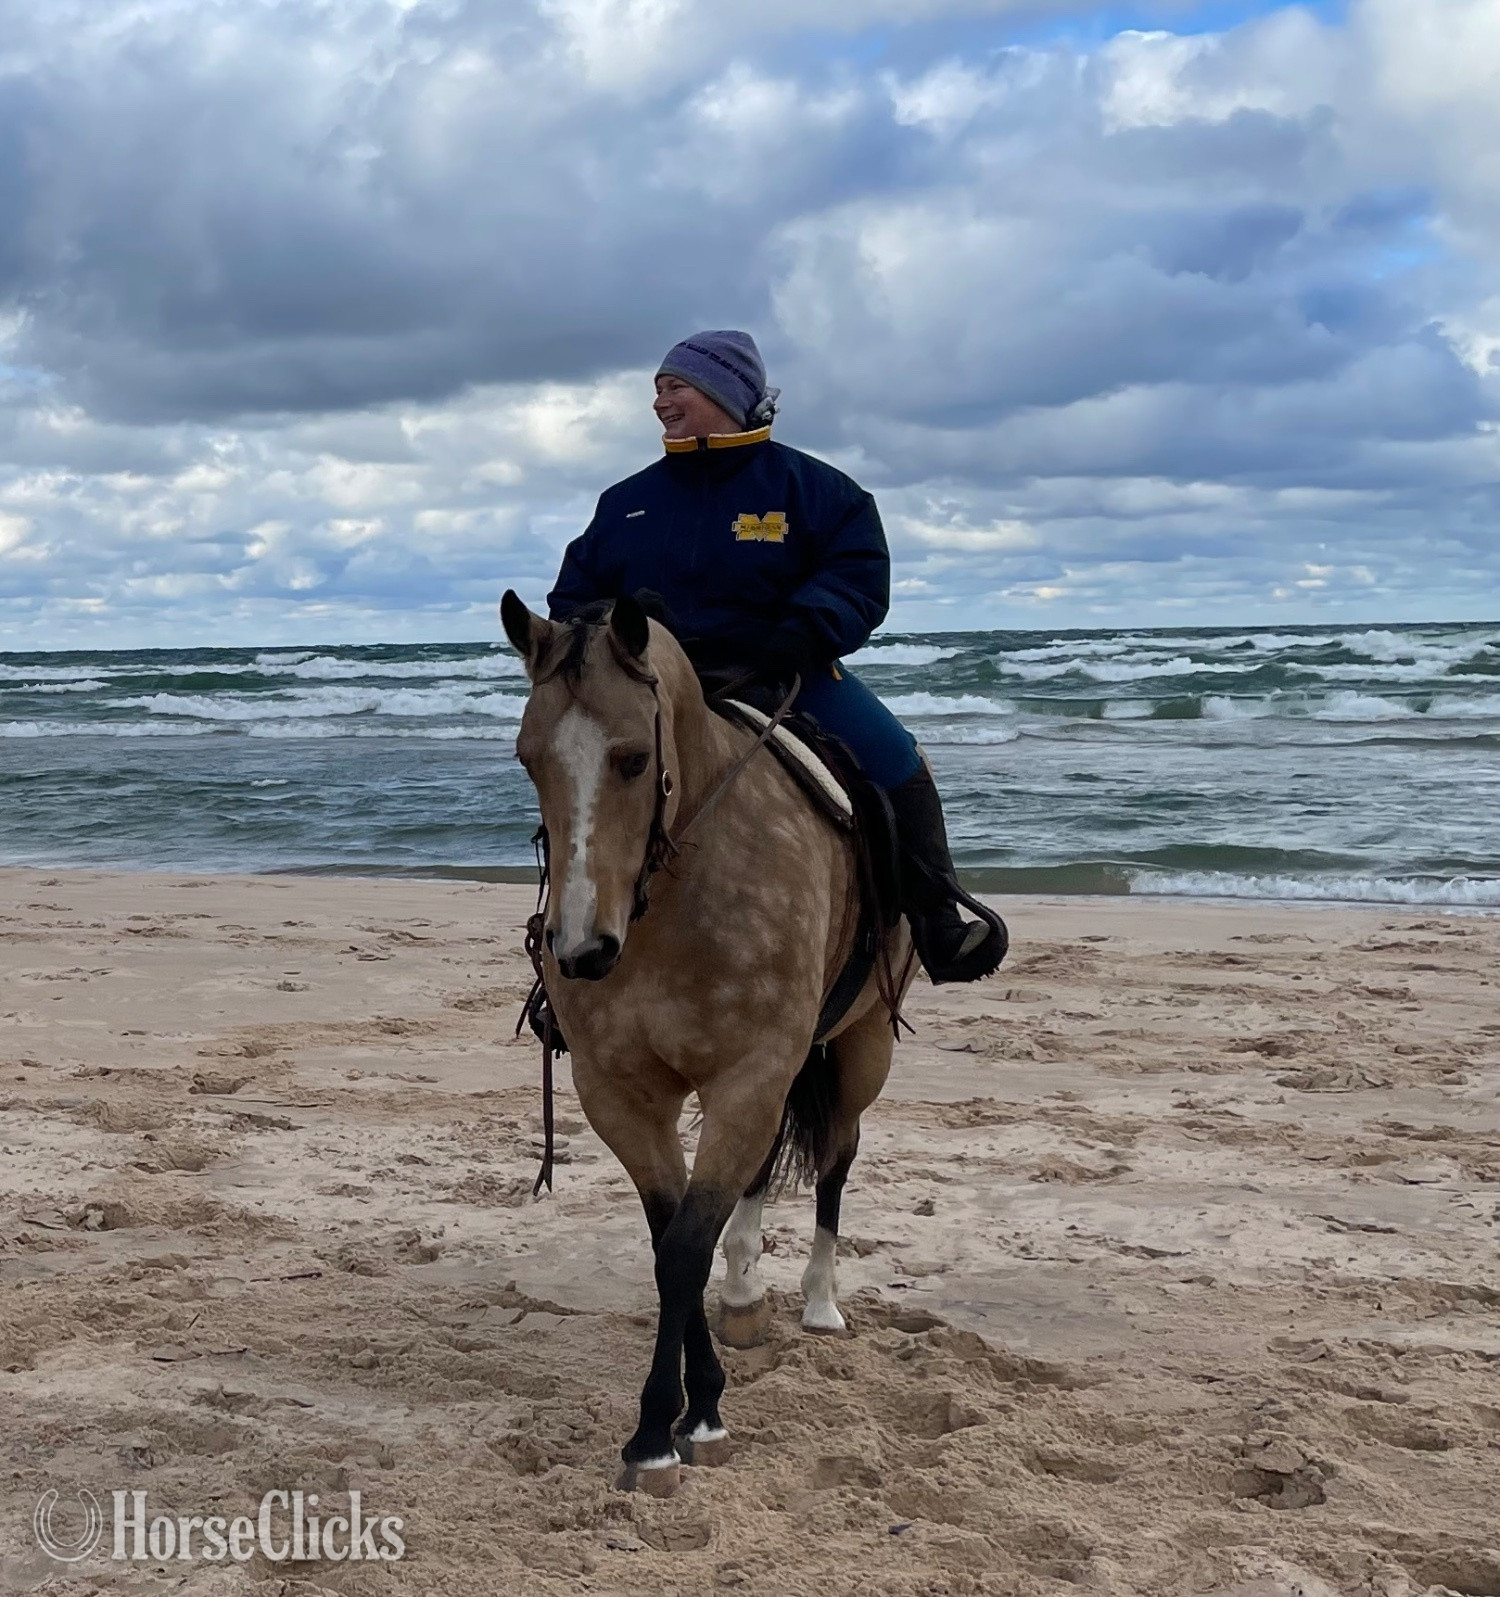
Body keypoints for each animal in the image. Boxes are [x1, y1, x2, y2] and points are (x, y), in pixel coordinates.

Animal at [500, 590, 917, 1496]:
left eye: (630, 759)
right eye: (529, 760)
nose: (581, 951)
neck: (674, 907)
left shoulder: (751, 1074)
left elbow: (684, 1246)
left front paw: (667, 1428)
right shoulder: (622, 1092)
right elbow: (673, 1240)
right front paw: (693, 1405)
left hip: (862, 1046)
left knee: (837, 1159)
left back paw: (820, 1299)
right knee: (756, 1183)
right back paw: (745, 1289)